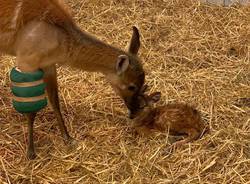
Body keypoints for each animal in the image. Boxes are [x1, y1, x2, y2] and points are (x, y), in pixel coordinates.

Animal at [0, 0, 145, 159]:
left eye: (144, 82)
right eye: (132, 86)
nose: (135, 111)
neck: (62, 38)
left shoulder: (49, 65)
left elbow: (55, 102)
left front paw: (68, 139)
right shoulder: (26, 63)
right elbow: (31, 111)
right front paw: (31, 152)